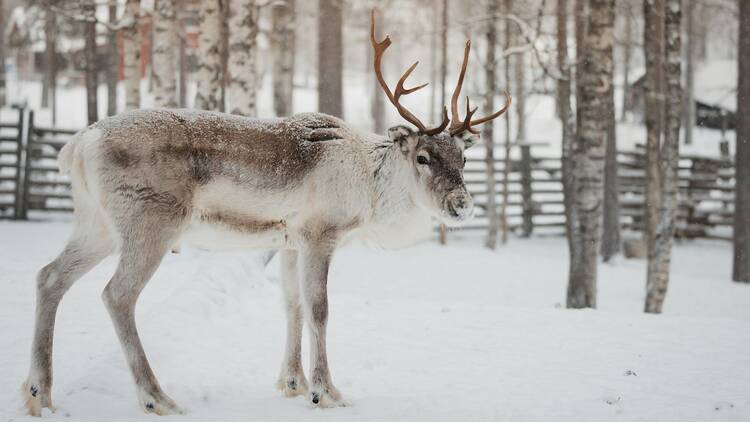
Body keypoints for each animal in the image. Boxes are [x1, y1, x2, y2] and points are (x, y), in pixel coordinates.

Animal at [22, 10, 510, 416]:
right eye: (424, 157)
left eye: (464, 158)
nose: (462, 205)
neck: (369, 188)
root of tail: (78, 144)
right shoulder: (319, 234)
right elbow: (319, 308)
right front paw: (326, 391)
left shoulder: (289, 241)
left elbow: (291, 305)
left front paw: (292, 383)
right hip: (150, 223)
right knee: (117, 294)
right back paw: (156, 397)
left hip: (96, 224)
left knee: (49, 276)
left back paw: (37, 393)